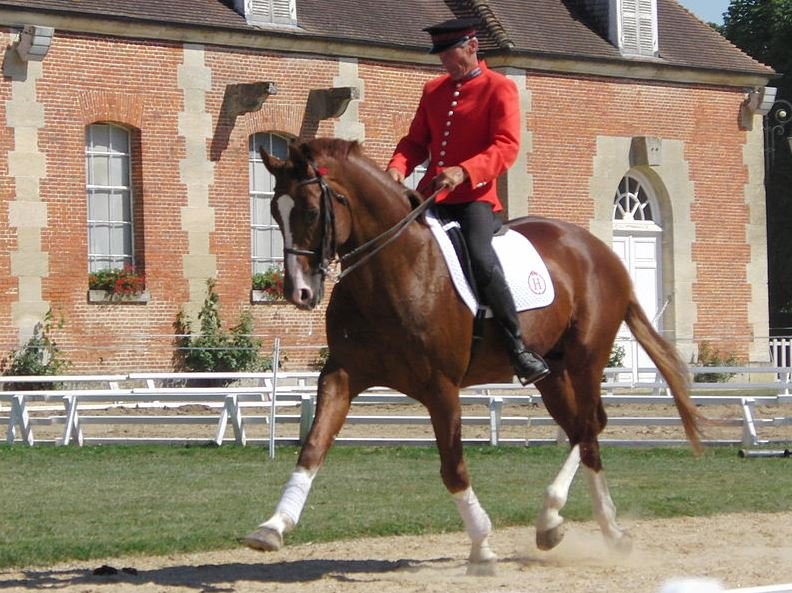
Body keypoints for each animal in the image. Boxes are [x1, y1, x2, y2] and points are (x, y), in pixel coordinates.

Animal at [243, 137, 703, 570]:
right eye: (274, 212)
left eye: (310, 211)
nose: (299, 293)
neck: (392, 269)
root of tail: (601, 251)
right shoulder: (341, 375)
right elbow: (313, 447)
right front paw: (272, 527)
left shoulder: (441, 387)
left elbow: (453, 467)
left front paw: (481, 545)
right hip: (553, 374)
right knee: (582, 429)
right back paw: (572, 527)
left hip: (586, 359)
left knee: (589, 429)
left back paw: (576, 522)